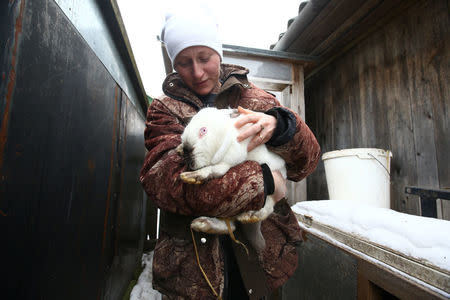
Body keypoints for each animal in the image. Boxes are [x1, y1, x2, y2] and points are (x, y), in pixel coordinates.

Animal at [176, 106, 284, 252]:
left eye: (203, 131)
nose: (186, 149)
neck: (224, 136)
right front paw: (179, 149)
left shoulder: (227, 161)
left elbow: (213, 169)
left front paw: (191, 177)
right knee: (231, 226)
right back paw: (202, 224)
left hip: (268, 198)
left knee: (267, 210)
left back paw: (249, 216)